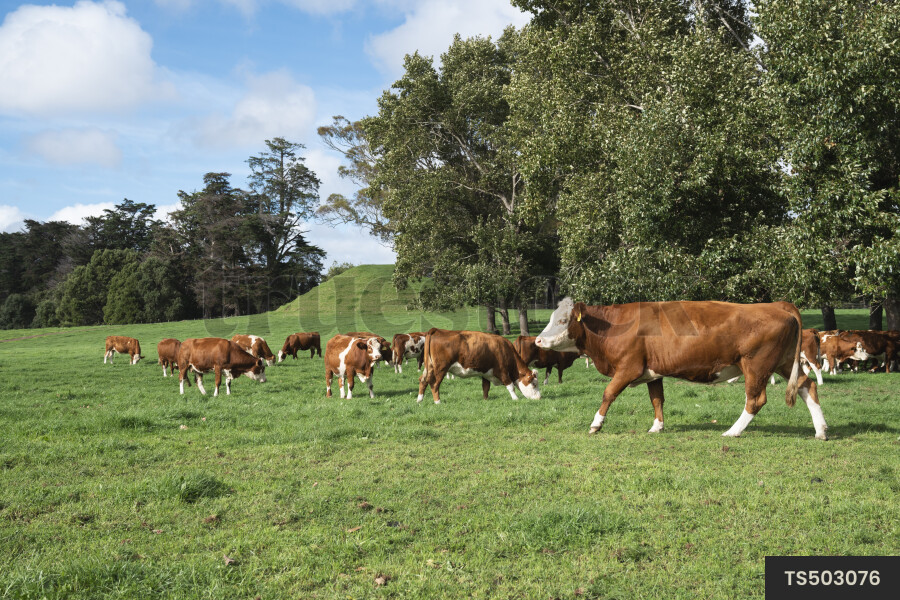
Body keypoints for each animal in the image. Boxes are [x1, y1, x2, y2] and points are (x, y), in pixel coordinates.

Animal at [536, 297, 828, 440]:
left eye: (562, 320)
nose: (537, 340)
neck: (613, 326)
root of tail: (778, 305)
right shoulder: (652, 371)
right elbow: (657, 399)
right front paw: (657, 427)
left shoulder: (628, 368)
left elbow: (608, 393)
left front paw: (596, 424)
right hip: (785, 362)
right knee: (807, 386)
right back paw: (821, 430)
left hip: (756, 365)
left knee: (756, 400)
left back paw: (733, 431)